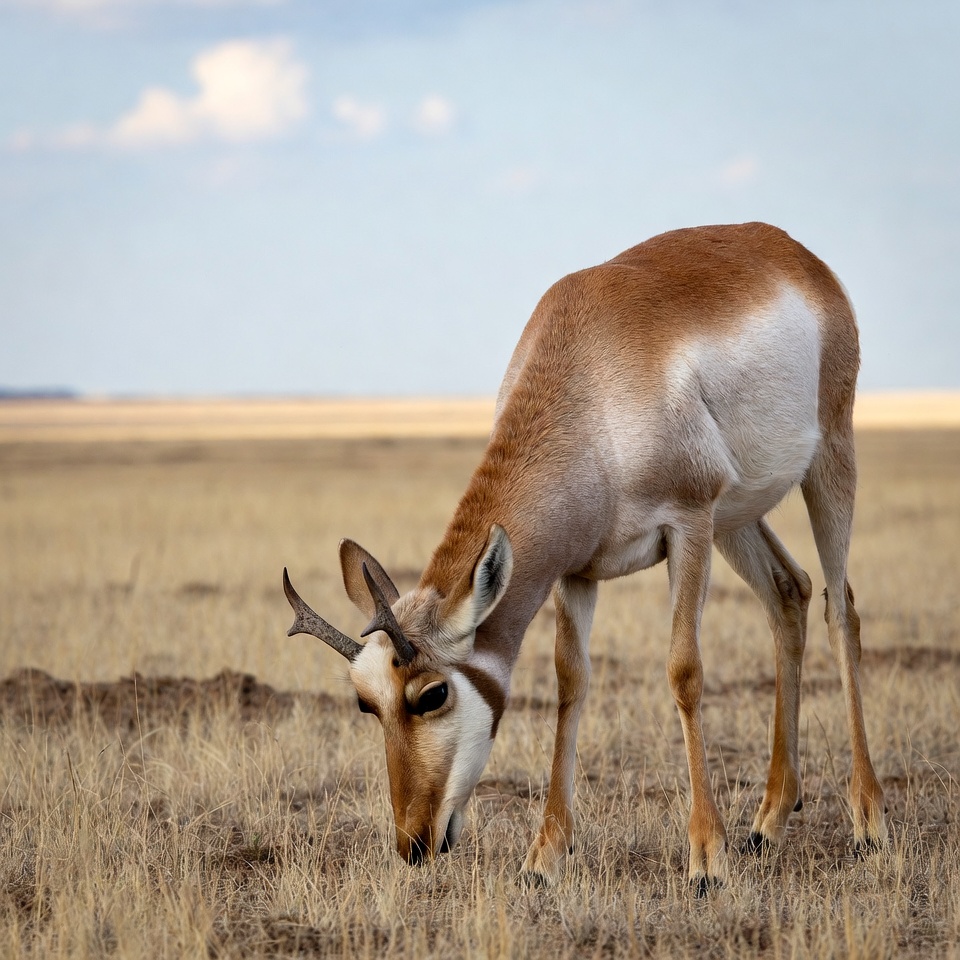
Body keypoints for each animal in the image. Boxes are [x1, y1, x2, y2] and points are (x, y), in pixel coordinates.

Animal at [283, 222, 888, 889]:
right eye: (367, 702)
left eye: (432, 694)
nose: (413, 843)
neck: (590, 375)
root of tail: (795, 253)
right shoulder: (576, 569)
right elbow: (570, 681)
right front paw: (544, 857)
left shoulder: (688, 524)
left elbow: (684, 671)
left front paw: (706, 858)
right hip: (738, 516)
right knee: (790, 591)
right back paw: (769, 821)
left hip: (825, 461)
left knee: (841, 607)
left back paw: (869, 823)